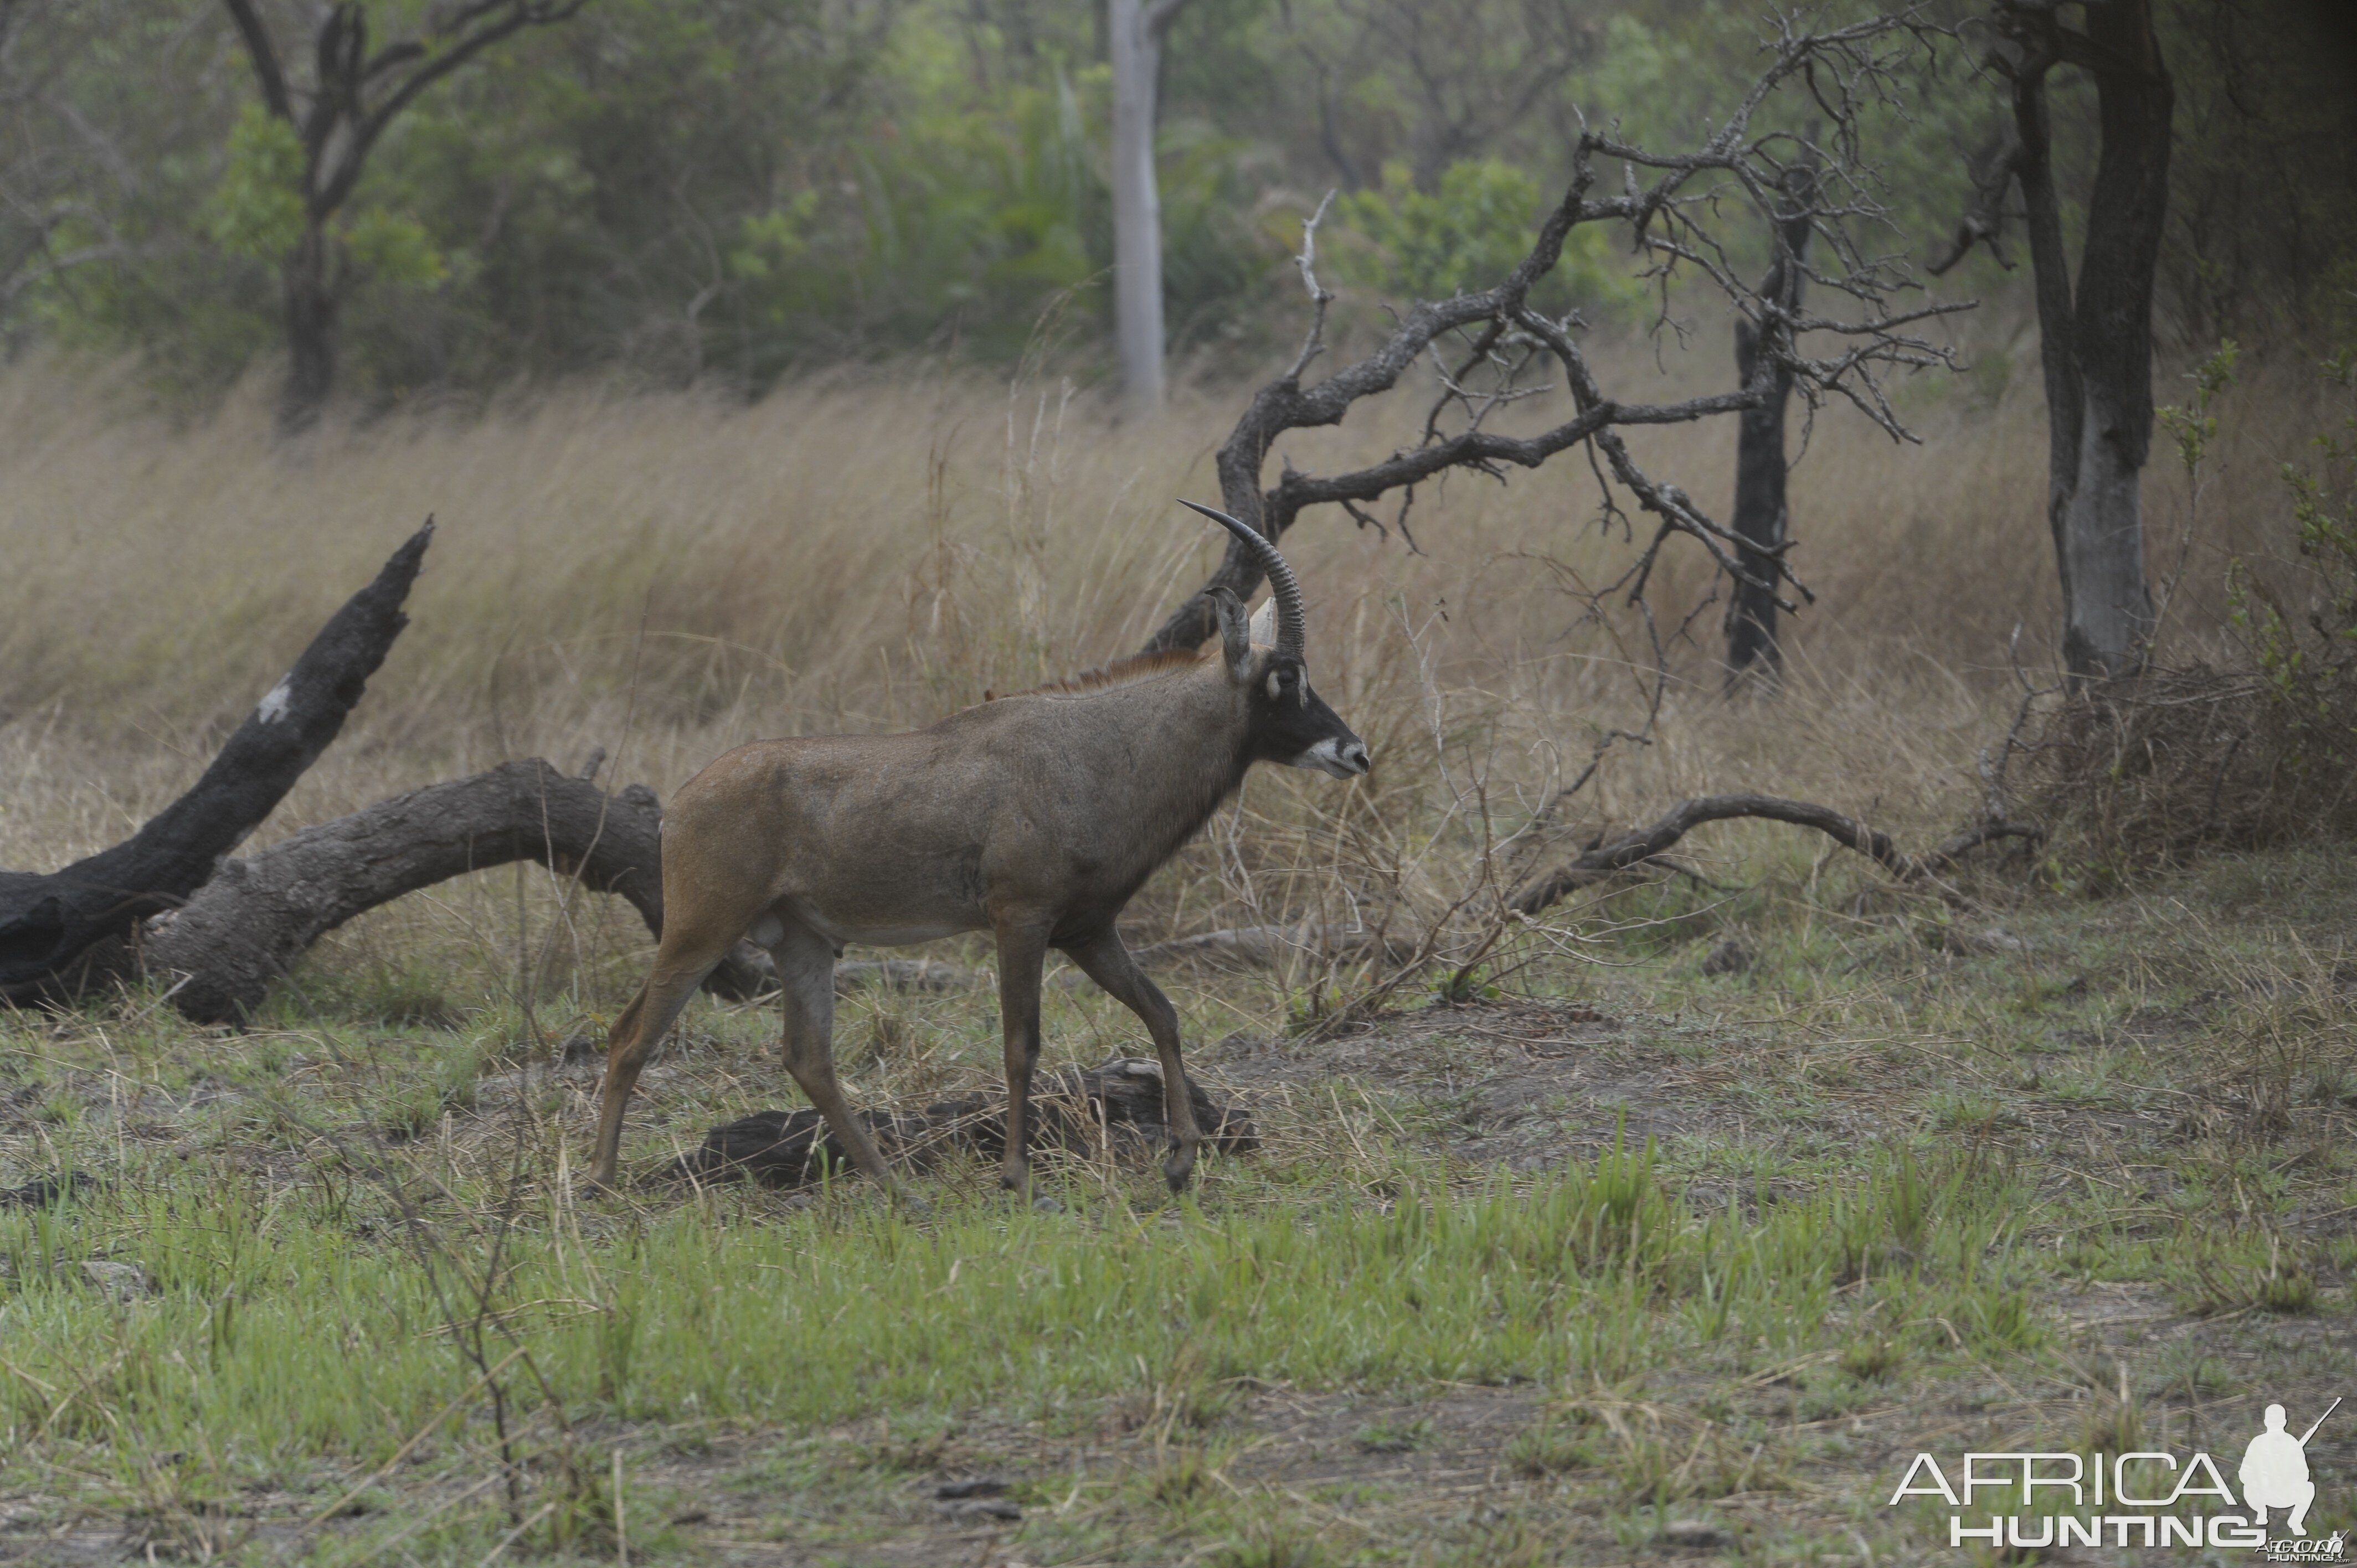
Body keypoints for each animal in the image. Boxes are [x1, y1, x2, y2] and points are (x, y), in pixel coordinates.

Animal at [579, 502, 1376, 1198]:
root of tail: (682, 803)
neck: (1098, 751)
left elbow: (1162, 1013)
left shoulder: (1088, 931)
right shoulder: (1019, 919)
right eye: (1284, 677)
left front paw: (1181, 1160)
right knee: (629, 1036)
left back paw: (897, 1189)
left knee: (808, 1058)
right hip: (702, 928)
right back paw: (600, 1184)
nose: (1355, 752)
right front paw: (1019, 1178)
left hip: (801, 941)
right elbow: (1022, 1046)